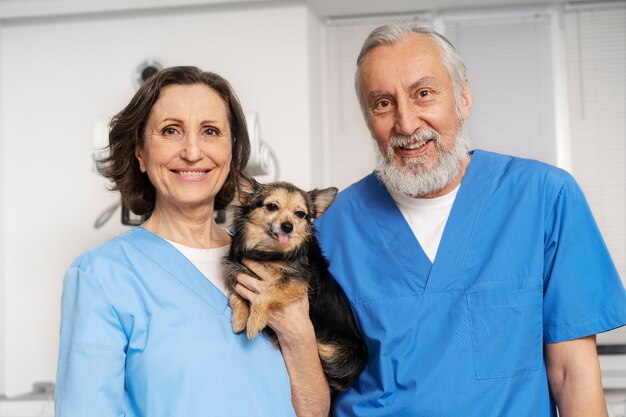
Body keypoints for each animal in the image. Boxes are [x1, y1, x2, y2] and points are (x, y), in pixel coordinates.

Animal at [222, 174, 366, 392]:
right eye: (272, 206)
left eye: (300, 214)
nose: (287, 227)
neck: (269, 252)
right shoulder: (237, 272)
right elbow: (235, 295)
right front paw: (239, 318)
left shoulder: (298, 283)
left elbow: (266, 295)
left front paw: (254, 322)